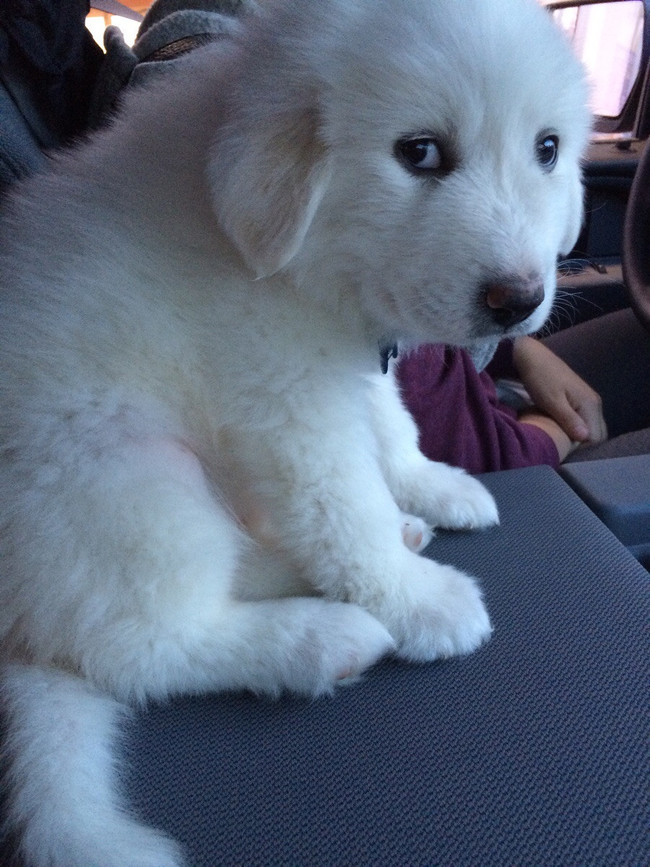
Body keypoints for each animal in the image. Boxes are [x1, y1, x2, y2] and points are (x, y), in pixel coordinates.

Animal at [0, 0, 588, 864]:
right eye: (419, 152)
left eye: (548, 148)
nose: (518, 300)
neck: (308, 267)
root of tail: (19, 633)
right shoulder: (289, 403)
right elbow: (347, 510)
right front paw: (417, 601)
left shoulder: (355, 361)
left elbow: (392, 425)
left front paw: (435, 487)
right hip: (122, 475)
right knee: (139, 645)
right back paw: (317, 636)